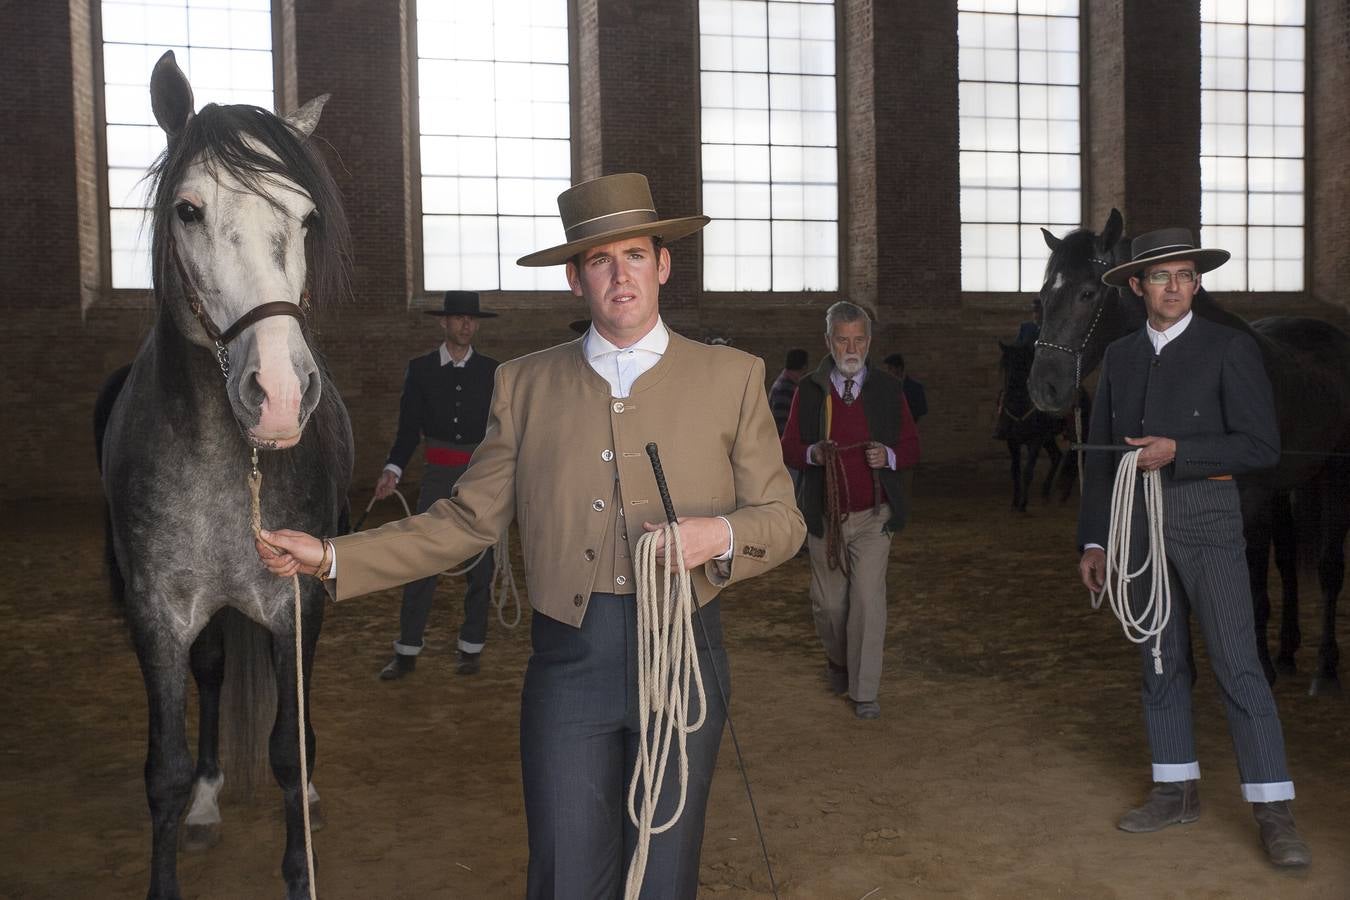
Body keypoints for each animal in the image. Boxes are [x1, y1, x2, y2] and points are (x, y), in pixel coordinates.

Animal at [98, 50, 353, 900]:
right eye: (188, 210)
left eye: (305, 219)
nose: (277, 393)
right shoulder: (155, 614)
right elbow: (165, 773)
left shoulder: (297, 601)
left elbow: (287, 751)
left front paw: (302, 865)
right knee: (211, 678)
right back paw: (211, 799)